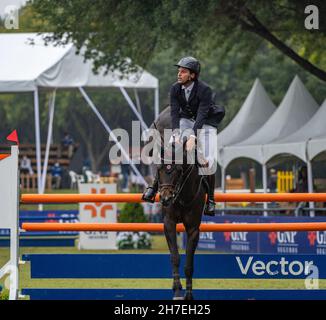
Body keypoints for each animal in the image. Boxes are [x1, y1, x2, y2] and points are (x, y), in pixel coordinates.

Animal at [150, 107, 208, 300]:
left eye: (178, 170)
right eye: (159, 169)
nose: (166, 198)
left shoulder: (193, 228)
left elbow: (189, 263)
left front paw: (188, 293)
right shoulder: (168, 223)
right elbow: (175, 256)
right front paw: (176, 289)